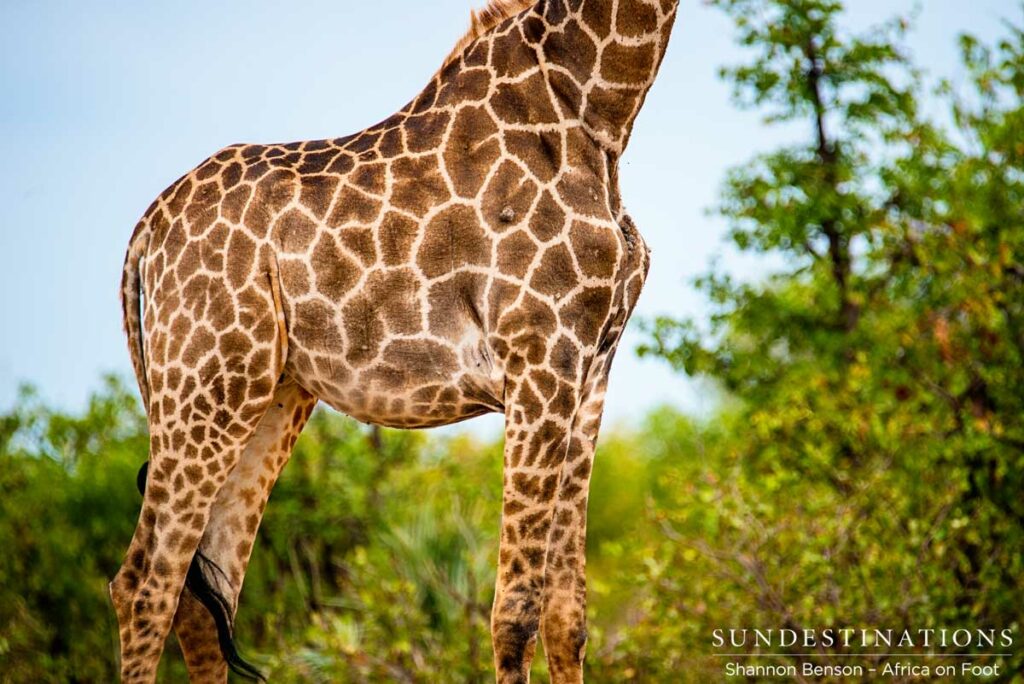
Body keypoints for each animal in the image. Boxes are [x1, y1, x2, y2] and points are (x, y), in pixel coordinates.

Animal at [111, 0, 679, 681]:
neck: (599, 113)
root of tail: (145, 231)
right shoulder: (538, 357)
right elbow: (514, 614)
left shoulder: (589, 369)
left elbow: (569, 618)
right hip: (203, 381)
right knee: (145, 583)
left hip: (265, 392)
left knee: (208, 593)